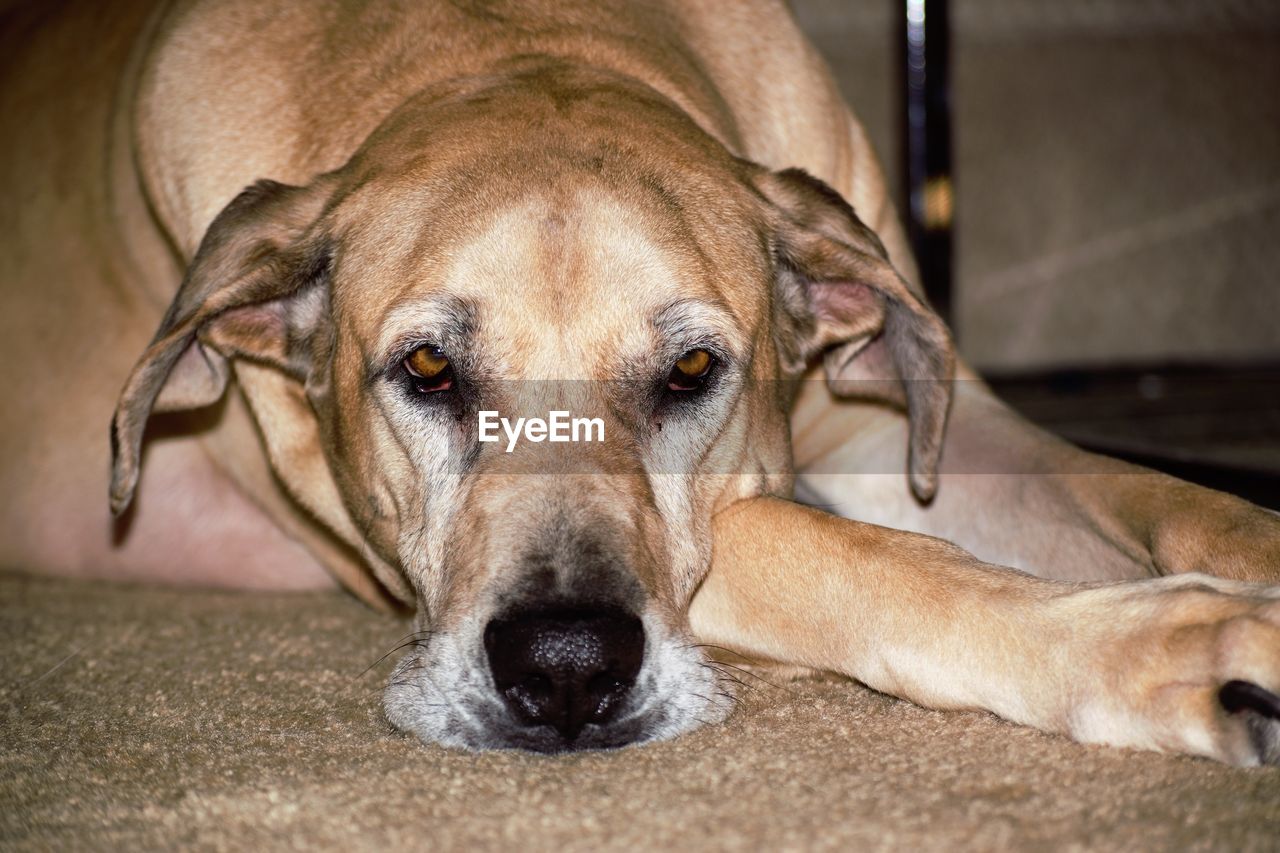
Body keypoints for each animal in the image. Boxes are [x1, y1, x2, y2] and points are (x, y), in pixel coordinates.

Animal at [2, 0, 1280, 758]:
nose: (564, 673)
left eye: (691, 369)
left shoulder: (896, 434)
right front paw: (1180, 647)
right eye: (427, 368)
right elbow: (870, 560)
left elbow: (1160, 496)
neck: (504, 44)